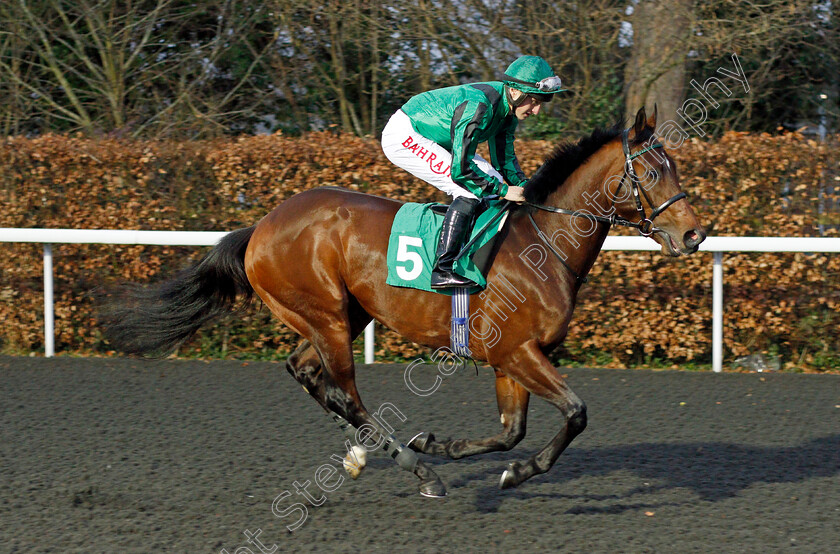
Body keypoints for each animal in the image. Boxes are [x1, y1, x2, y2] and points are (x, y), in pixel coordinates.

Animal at [98, 106, 704, 496]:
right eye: (653, 171)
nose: (695, 234)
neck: (543, 245)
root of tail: (261, 226)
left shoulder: (511, 358)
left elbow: (510, 432)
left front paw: (444, 444)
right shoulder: (516, 352)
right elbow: (575, 414)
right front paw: (502, 469)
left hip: (339, 314)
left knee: (305, 371)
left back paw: (362, 454)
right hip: (326, 316)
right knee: (346, 393)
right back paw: (413, 468)